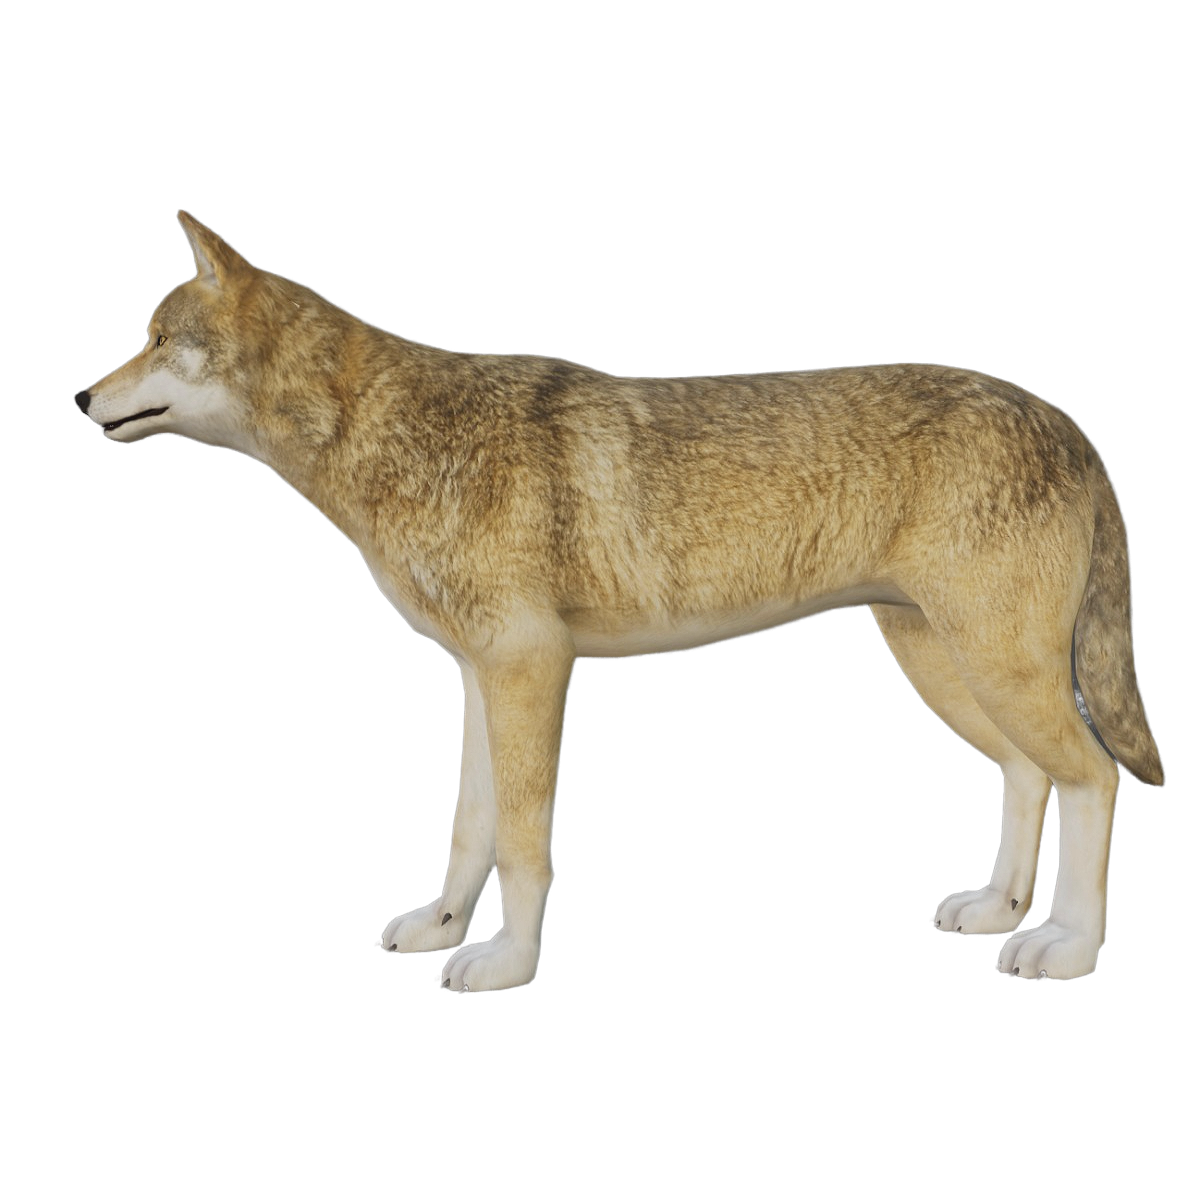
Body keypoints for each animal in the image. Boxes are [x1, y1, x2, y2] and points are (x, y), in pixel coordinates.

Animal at [75, 212, 1164, 993]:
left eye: (156, 341)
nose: (85, 402)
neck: (399, 435)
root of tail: (1068, 424)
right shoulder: (481, 680)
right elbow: (470, 831)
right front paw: (441, 930)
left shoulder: (531, 669)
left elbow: (524, 846)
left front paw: (507, 964)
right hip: (948, 667)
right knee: (1031, 777)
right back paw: (1000, 913)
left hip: (997, 668)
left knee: (1096, 776)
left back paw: (1067, 946)